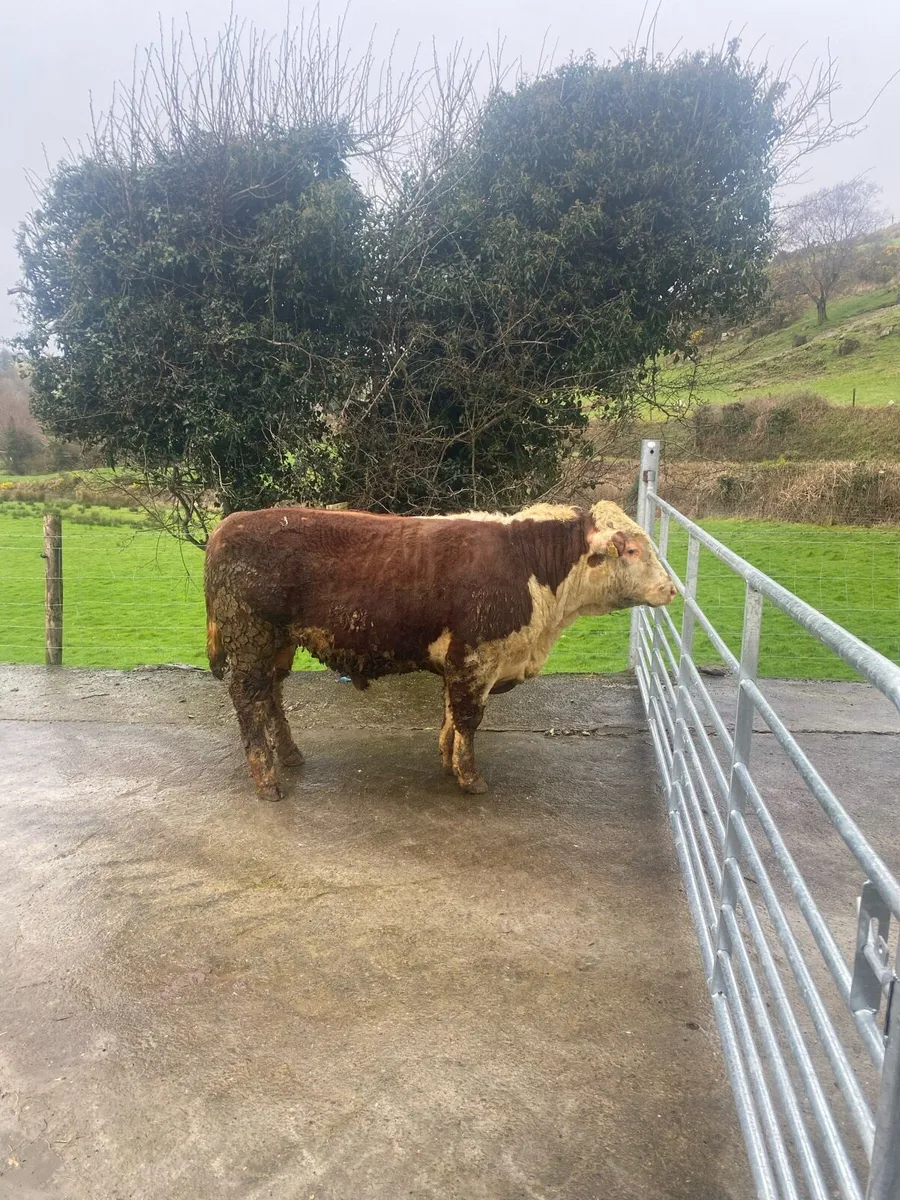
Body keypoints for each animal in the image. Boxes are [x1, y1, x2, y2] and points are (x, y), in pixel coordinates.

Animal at [204, 500, 676, 800]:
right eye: (632, 549)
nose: (671, 588)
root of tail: (229, 525)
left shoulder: (463, 659)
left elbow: (451, 711)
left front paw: (448, 760)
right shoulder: (476, 655)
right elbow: (468, 716)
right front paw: (470, 778)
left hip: (275, 644)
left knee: (271, 694)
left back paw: (289, 754)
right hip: (250, 638)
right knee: (249, 699)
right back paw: (267, 780)